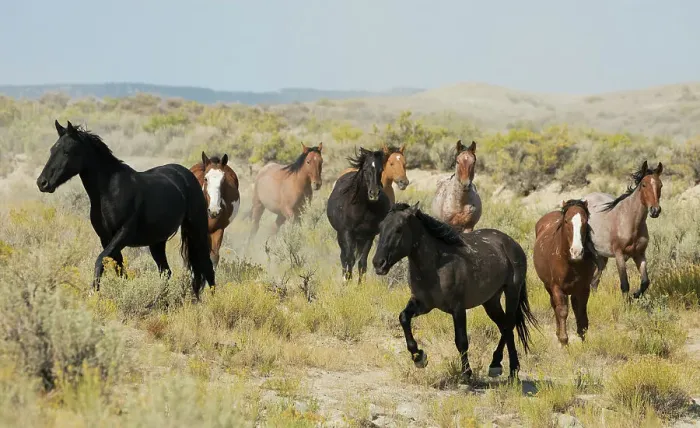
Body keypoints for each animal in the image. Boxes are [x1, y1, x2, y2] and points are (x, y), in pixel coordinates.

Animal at [36, 120, 215, 299]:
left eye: (67, 152)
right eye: (52, 150)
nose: (42, 183)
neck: (109, 191)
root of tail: (187, 174)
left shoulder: (123, 234)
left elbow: (100, 260)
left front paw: (93, 294)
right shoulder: (106, 238)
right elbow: (120, 270)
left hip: (197, 230)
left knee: (207, 267)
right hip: (157, 242)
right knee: (166, 271)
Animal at [327, 147, 390, 283]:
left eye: (381, 170)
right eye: (365, 169)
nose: (374, 193)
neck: (363, 209)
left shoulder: (368, 236)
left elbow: (362, 262)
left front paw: (360, 285)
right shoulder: (347, 233)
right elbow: (349, 259)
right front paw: (347, 282)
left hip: (359, 239)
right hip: (342, 236)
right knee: (344, 257)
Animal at [372, 202, 537, 380]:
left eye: (399, 229)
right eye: (380, 227)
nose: (378, 263)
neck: (436, 266)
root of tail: (512, 243)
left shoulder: (458, 308)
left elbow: (461, 340)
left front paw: (466, 373)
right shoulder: (422, 304)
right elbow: (403, 318)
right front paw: (419, 357)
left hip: (512, 291)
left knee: (508, 325)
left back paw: (506, 369)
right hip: (491, 301)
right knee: (505, 327)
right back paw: (502, 367)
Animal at [533, 199, 597, 347]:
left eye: (585, 221)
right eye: (567, 221)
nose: (576, 252)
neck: (571, 262)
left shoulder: (583, 288)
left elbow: (581, 312)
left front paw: (583, 340)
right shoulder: (557, 288)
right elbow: (562, 311)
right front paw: (564, 341)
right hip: (549, 287)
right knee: (555, 306)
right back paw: (558, 334)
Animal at [582, 161, 663, 299]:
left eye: (660, 185)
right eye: (644, 184)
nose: (655, 211)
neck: (630, 221)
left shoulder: (639, 254)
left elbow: (645, 282)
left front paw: (635, 295)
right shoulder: (619, 255)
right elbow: (625, 285)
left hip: (601, 256)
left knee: (594, 281)